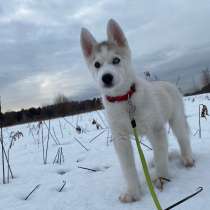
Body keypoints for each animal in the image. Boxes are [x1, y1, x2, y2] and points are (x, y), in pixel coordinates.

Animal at [80, 18, 194, 203]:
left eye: (116, 60)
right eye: (97, 64)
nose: (106, 77)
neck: (124, 99)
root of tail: (167, 83)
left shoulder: (156, 129)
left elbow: (161, 156)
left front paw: (162, 179)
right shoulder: (120, 138)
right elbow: (128, 168)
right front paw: (133, 192)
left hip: (175, 120)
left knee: (183, 139)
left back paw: (187, 158)